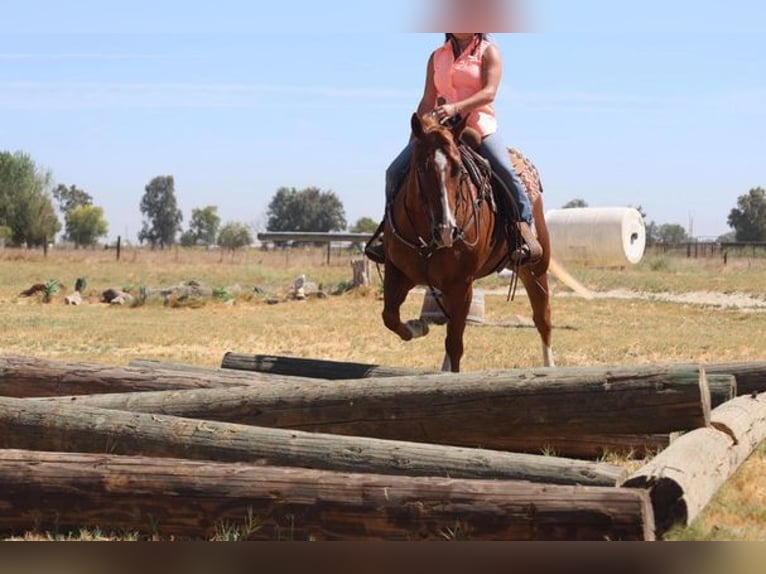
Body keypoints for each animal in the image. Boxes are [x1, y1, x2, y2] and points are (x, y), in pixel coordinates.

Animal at [381, 112, 554, 372]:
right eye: (421, 168)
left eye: (458, 170)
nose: (446, 230)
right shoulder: (398, 271)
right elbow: (390, 316)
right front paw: (419, 326)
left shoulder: (461, 284)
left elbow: (455, 345)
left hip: (535, 268)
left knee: (543, 318)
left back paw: (550, 367)